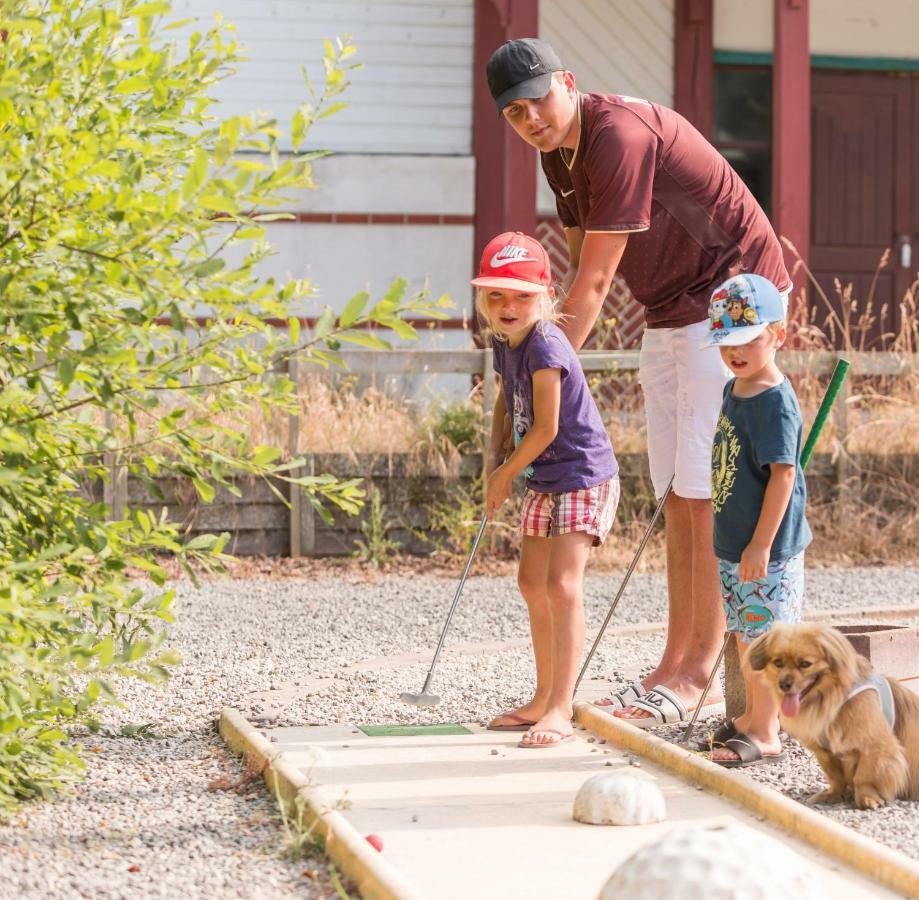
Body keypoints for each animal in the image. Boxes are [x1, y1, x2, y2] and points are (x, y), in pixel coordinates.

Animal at [748, 624, 919, 808]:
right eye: (777, 663)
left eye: (805, 664)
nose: (783, 684)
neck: (830, 700)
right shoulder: (824, 751)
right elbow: (835, 777)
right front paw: (832, 795)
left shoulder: (876, 747)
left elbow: (864, 776)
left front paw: (867, 798)